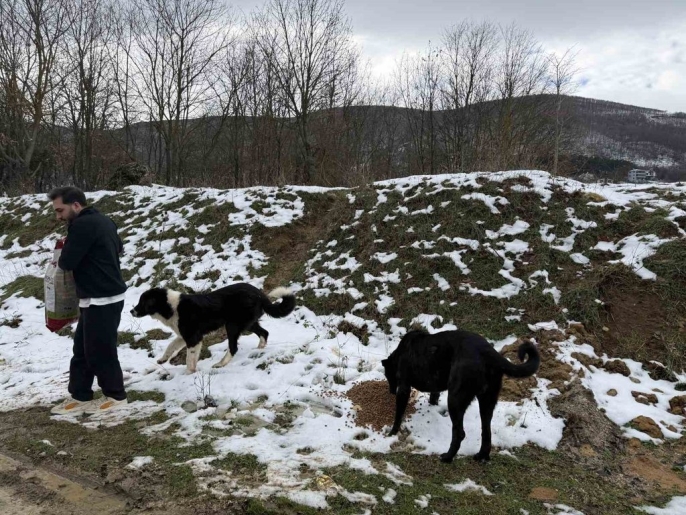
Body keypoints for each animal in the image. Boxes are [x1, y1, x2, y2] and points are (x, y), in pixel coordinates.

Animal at [130, 282, 296, 373]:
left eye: (142, 302)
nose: (131, 311)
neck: (170, 306)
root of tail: (260, 294)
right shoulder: (184, 336)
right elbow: (171, 346)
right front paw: (162, 360)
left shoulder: (193, 337)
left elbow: (189, 358)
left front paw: (189, 373)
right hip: (248, 323)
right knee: (264, 332)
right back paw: (260, 348)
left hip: (232, 325)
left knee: (234, 347)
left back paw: (221, 363)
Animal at [381, 328, 540, 463]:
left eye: (388, 375)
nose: (391, 391)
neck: (401, 352)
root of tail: (489, 352)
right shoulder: (434, 386)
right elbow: (434, 396)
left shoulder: (403, 387)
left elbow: (398, 414)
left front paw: (392, 432)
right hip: (486, 402)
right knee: (486, 432)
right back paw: (481, 456)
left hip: (455, 399)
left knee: (459, 433)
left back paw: (447, 457)